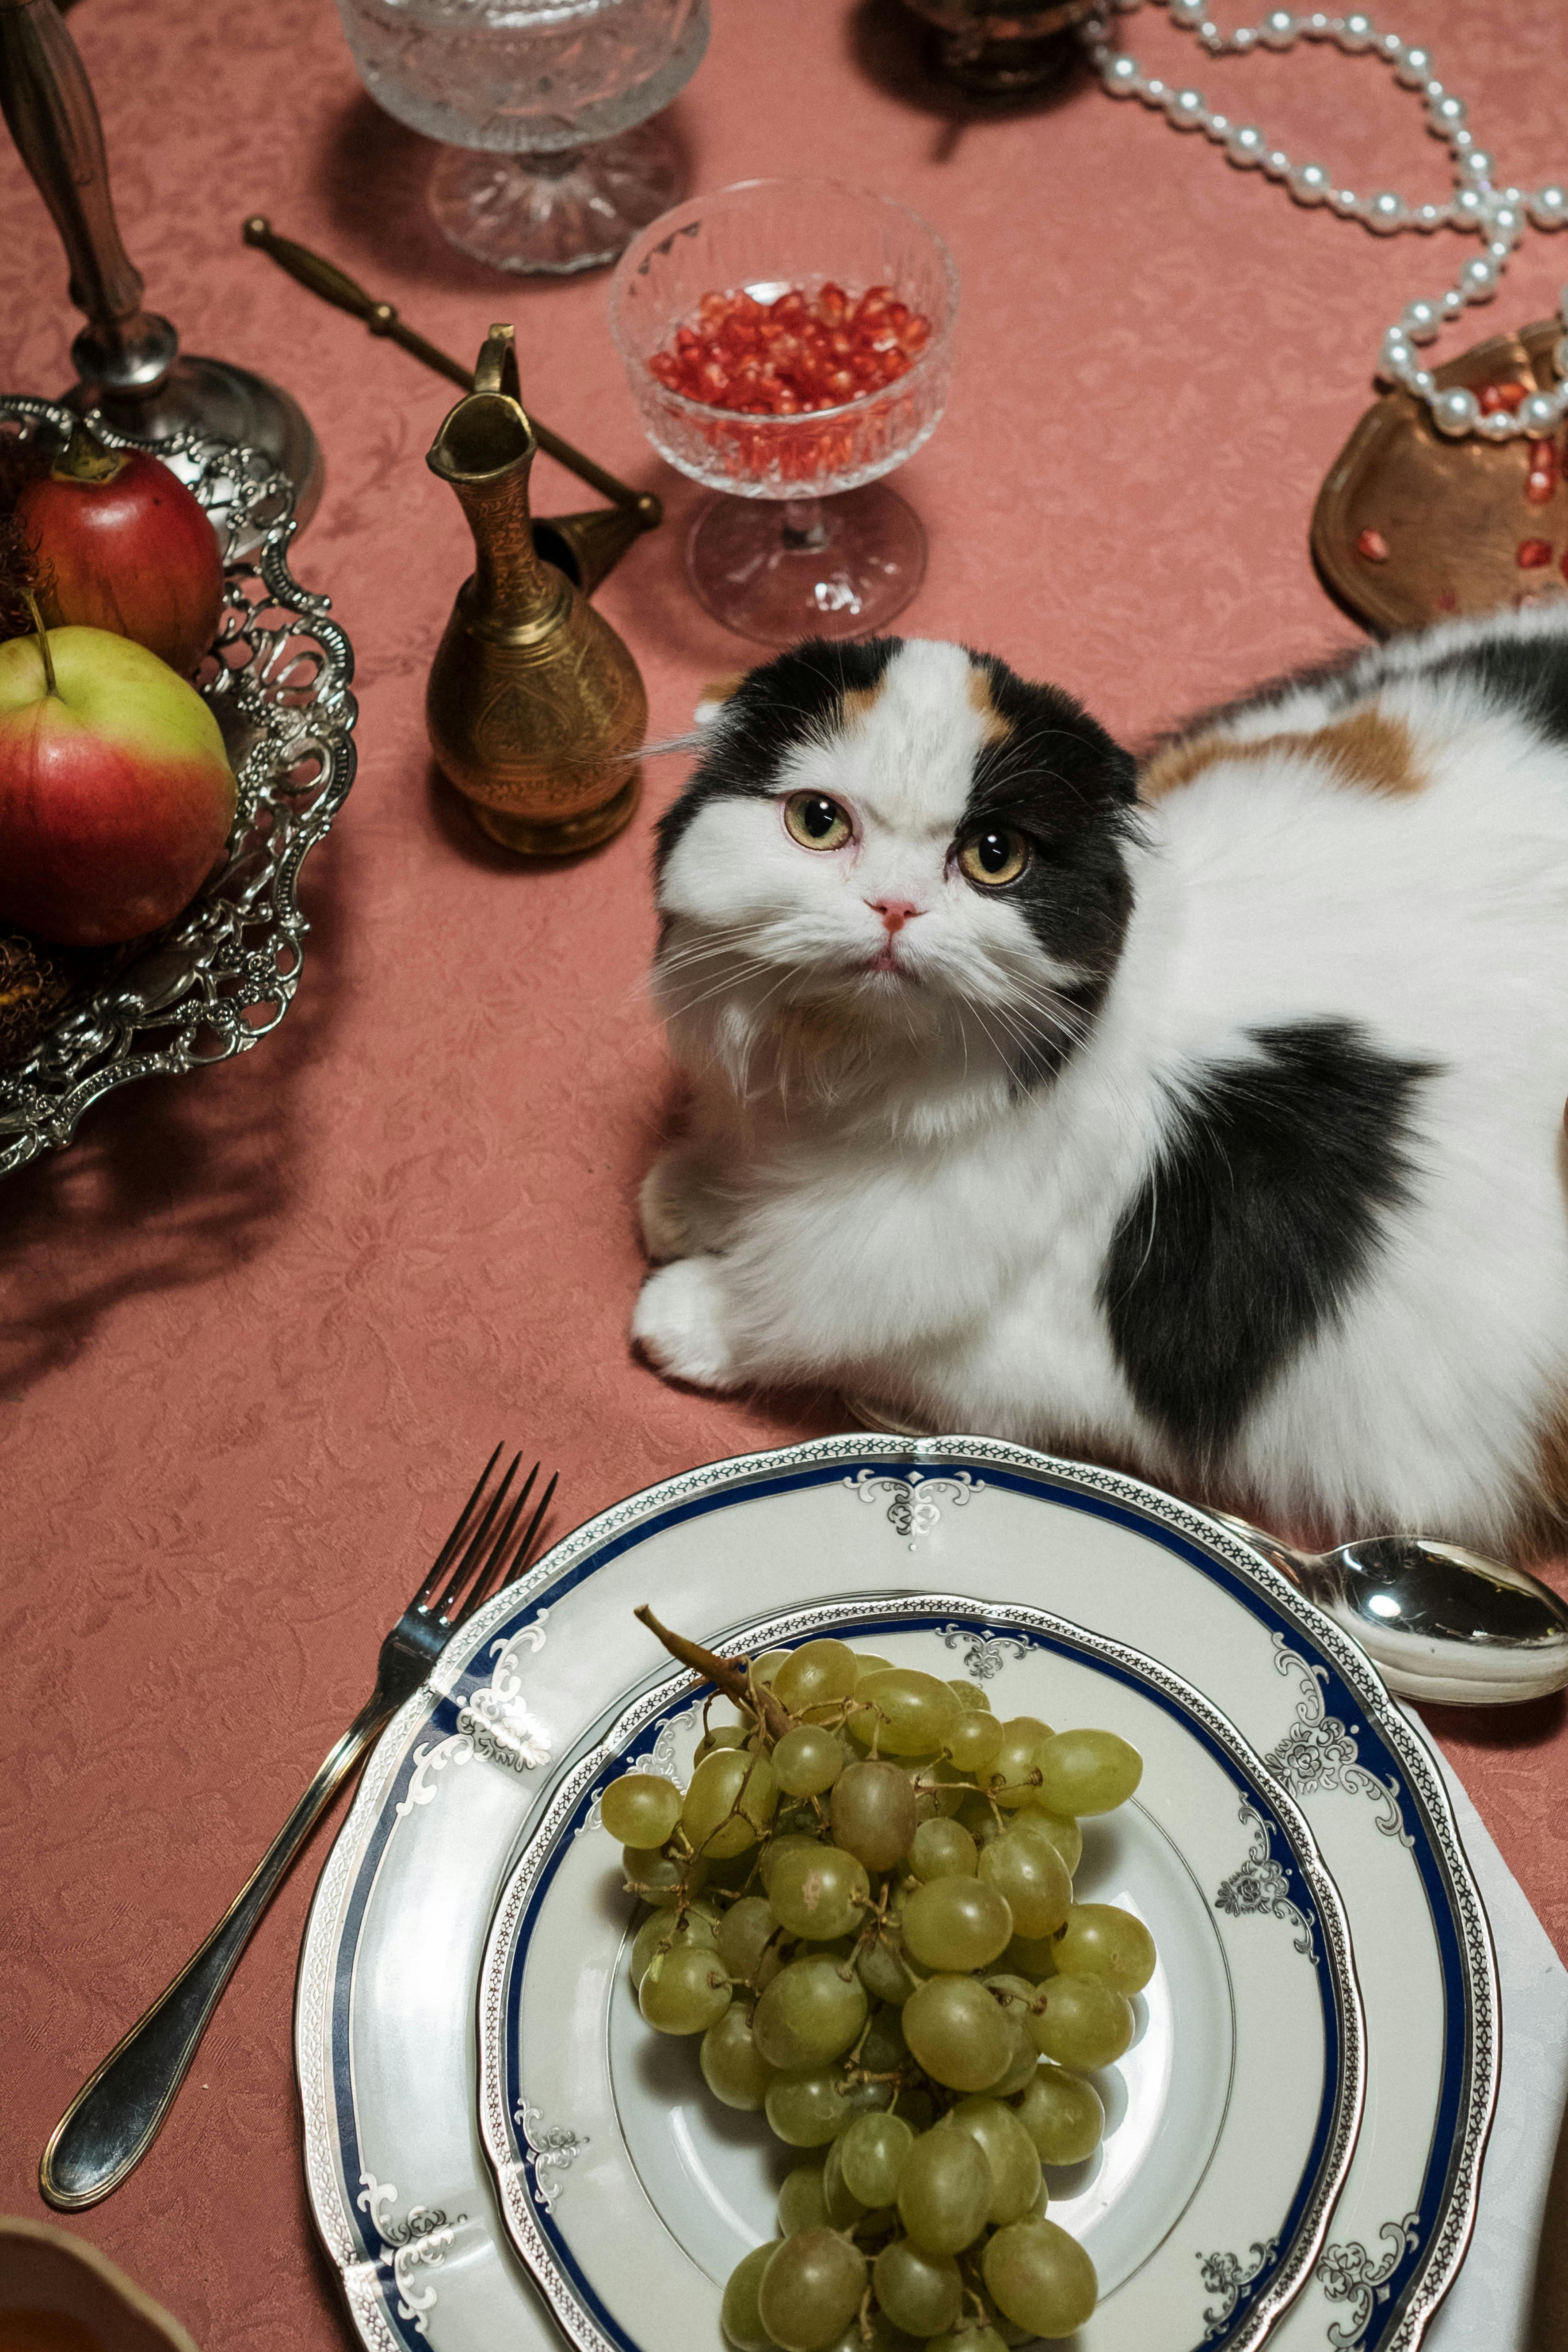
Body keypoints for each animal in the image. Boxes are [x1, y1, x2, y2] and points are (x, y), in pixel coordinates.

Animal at [630, 616, 1568, 1552]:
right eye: (818, 822)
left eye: (994, 857)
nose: (894, 907)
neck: (846, 1074)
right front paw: (690, 1196)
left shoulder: (1027, 1361)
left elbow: (805, 1321)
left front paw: (687, 1314)